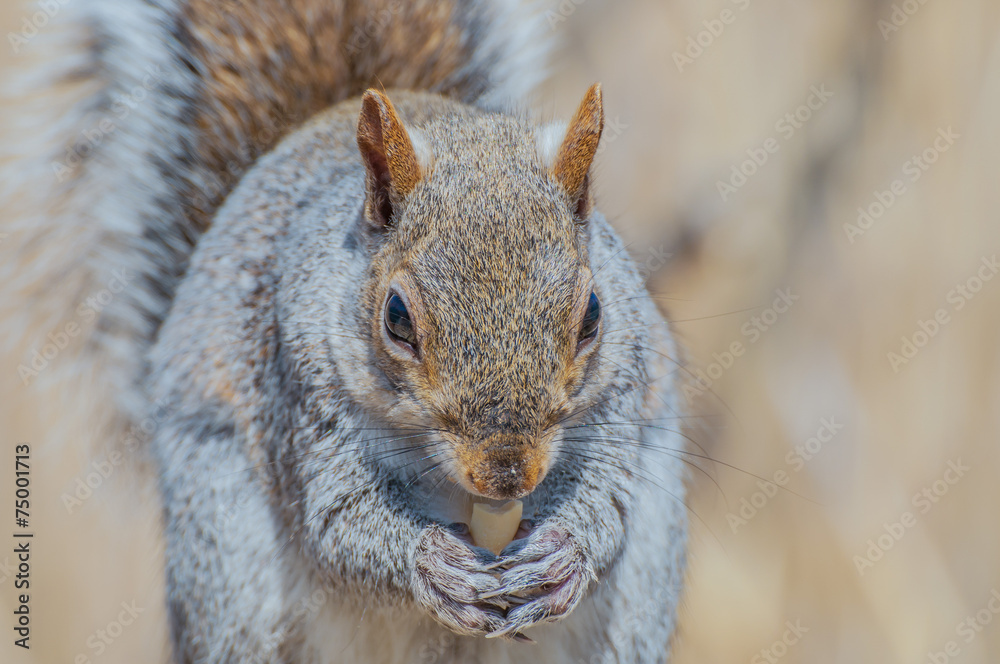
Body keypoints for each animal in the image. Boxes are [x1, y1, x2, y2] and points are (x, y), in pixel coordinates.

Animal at [1, 0, 688, 662]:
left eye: (593, 314)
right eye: (397, 318)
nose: (505, 476)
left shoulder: (621, 391)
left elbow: (609, 500)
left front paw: (563, 555)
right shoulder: (301, 386)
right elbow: (340, 522)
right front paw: (432, 565)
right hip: (224, 558)